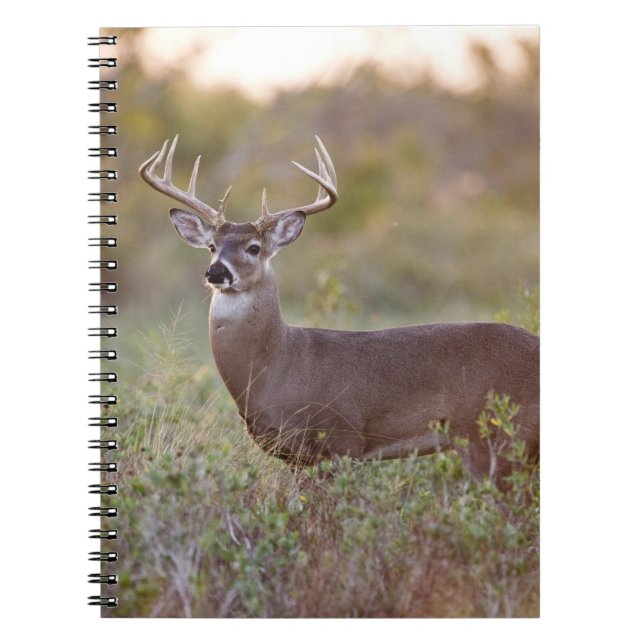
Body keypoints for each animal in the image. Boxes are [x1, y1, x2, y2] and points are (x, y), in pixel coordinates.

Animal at [139, 135, 539, 488]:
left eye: (253, 247)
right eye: (211, 246)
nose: (216, 272)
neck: (277, 364)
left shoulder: (342, 440)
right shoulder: (296, 457)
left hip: (495, 438)